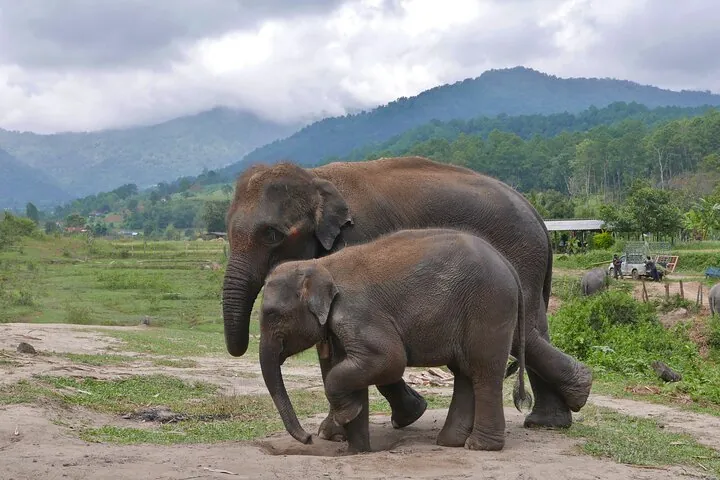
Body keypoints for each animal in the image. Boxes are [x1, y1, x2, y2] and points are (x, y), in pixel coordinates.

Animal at [259, 228, 532, 453]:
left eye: (273, 314)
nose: (307, 439)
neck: (321, 265)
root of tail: (508, 265)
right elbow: (350, 365)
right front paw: (357, 448)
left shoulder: (358, 312)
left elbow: (389, 359)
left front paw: (346, 416)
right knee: (464, 372)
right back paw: (450, 442)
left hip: (490, 307)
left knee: (483, 370)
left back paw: (479, 446)